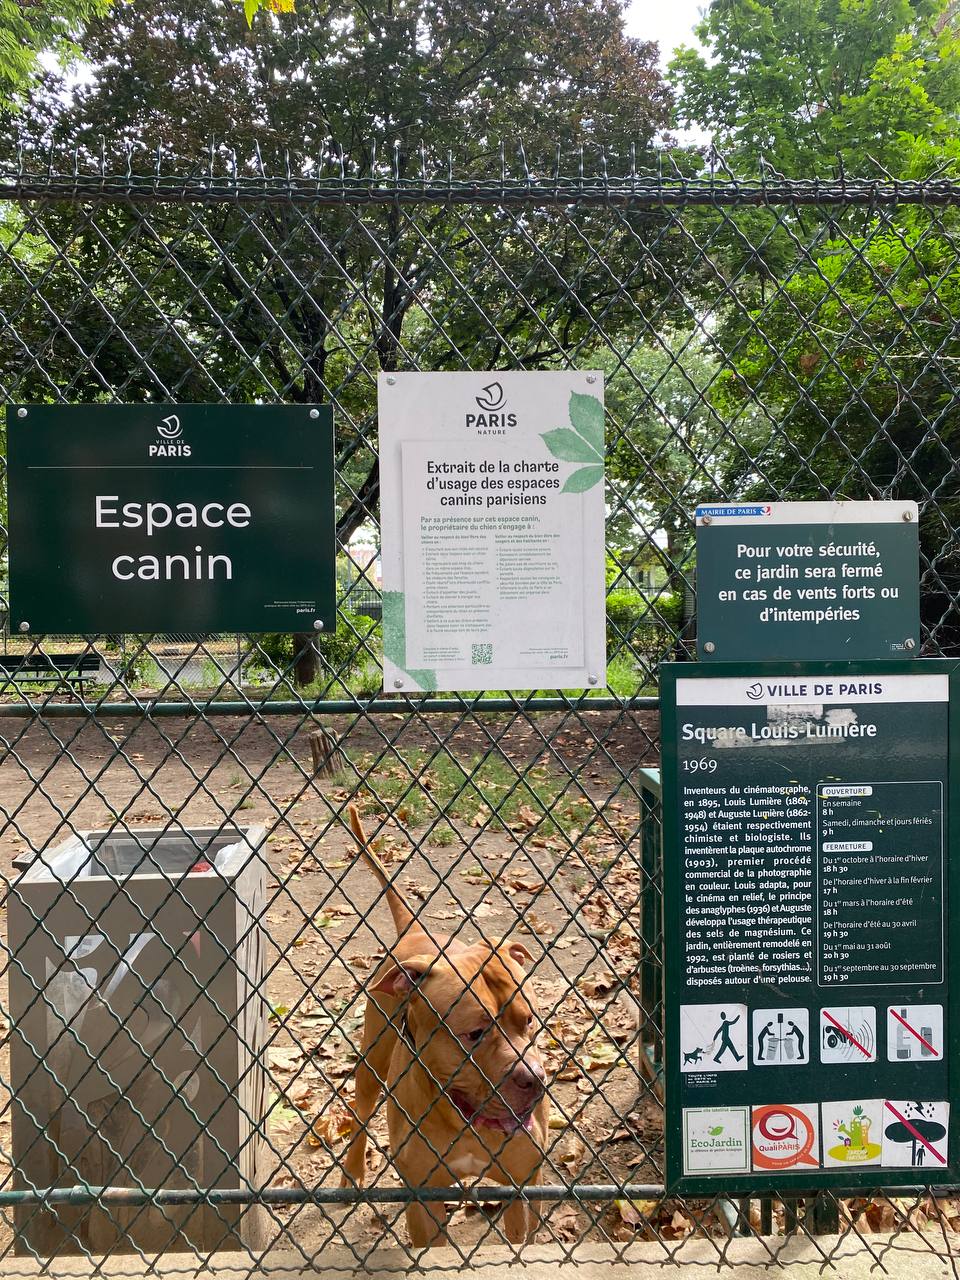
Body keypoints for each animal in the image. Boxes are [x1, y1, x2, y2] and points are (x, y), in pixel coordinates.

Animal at [340, 803, 547, 1244]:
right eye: (474, 1034)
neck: (463, 1118)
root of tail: (415, 932)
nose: (535, 1080)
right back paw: (352, 1171)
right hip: (370, 1063)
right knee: (361, 1112)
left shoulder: (522, 1191)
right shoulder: (424, 1200)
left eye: (529, 1021)